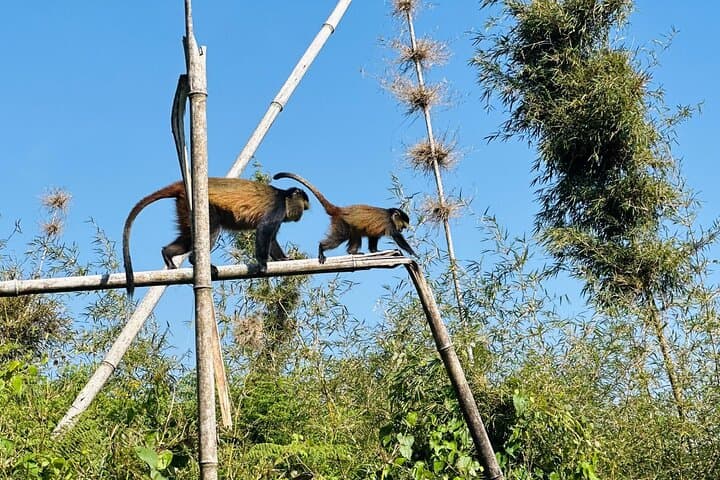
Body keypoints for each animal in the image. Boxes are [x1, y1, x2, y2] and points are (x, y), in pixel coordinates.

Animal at [122, 177, 310, 298]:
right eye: (303, 206)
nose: (301, 216)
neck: (283, 196)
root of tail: (182, 186)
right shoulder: (278, 208)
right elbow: (264, 230)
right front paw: (263, 264)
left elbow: (271, 239)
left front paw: (283, 259)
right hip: (198, 206)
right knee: (211, 228)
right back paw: (194, 259)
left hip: (183, 206)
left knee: (188, 238)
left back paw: (168, 254)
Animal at [272, 172, 416, 264]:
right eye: (403, 226)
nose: (402, 229)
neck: (391, 215)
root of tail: (340, 210)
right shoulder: (389, 223)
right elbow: (397, 237)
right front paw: (413, 253)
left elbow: (373, 238)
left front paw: (375, 251)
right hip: (341, 223)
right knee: (340, 237)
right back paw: (321, 248)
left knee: (356, 236)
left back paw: (353, 252)